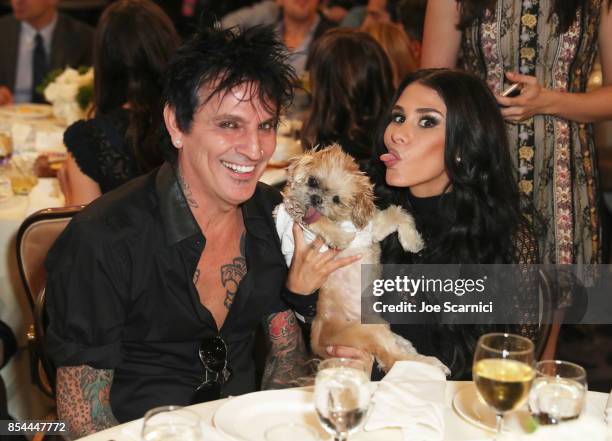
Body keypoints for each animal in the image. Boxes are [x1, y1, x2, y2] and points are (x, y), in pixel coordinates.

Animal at [272, 144, 450, 372]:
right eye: (313, 181)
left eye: (337, 200)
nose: (316, 199)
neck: (344, 222)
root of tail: (320, 347)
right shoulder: (297, 229)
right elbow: (314, 220)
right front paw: (339, 237)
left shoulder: (371, 230)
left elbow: (399, 214)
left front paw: (413, 242)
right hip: (369, 331)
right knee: (392, 358)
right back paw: (431, 364)